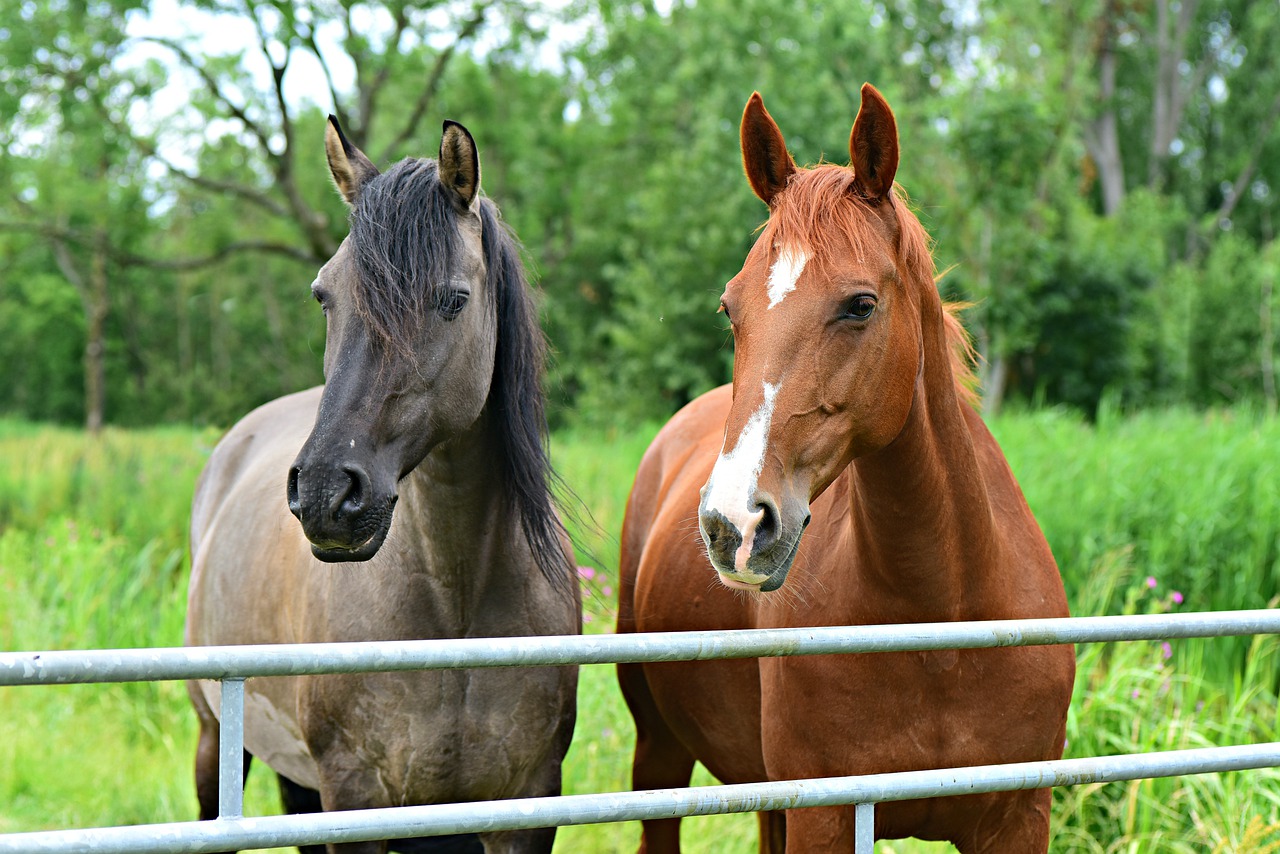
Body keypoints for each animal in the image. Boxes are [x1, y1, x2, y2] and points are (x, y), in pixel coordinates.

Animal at [186, 115, 581, 854]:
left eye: (453, 299)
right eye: (324, 295)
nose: (324, 494)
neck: (455, 606)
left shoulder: (527, 801)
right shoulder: (355, 796)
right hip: (214, 740)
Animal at [614, 83, 1075, 850]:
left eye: (860, 305)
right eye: (730, 308)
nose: (732, 524)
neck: (941, 621)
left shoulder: (1017, 815)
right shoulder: (824, 815)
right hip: (660, 756)